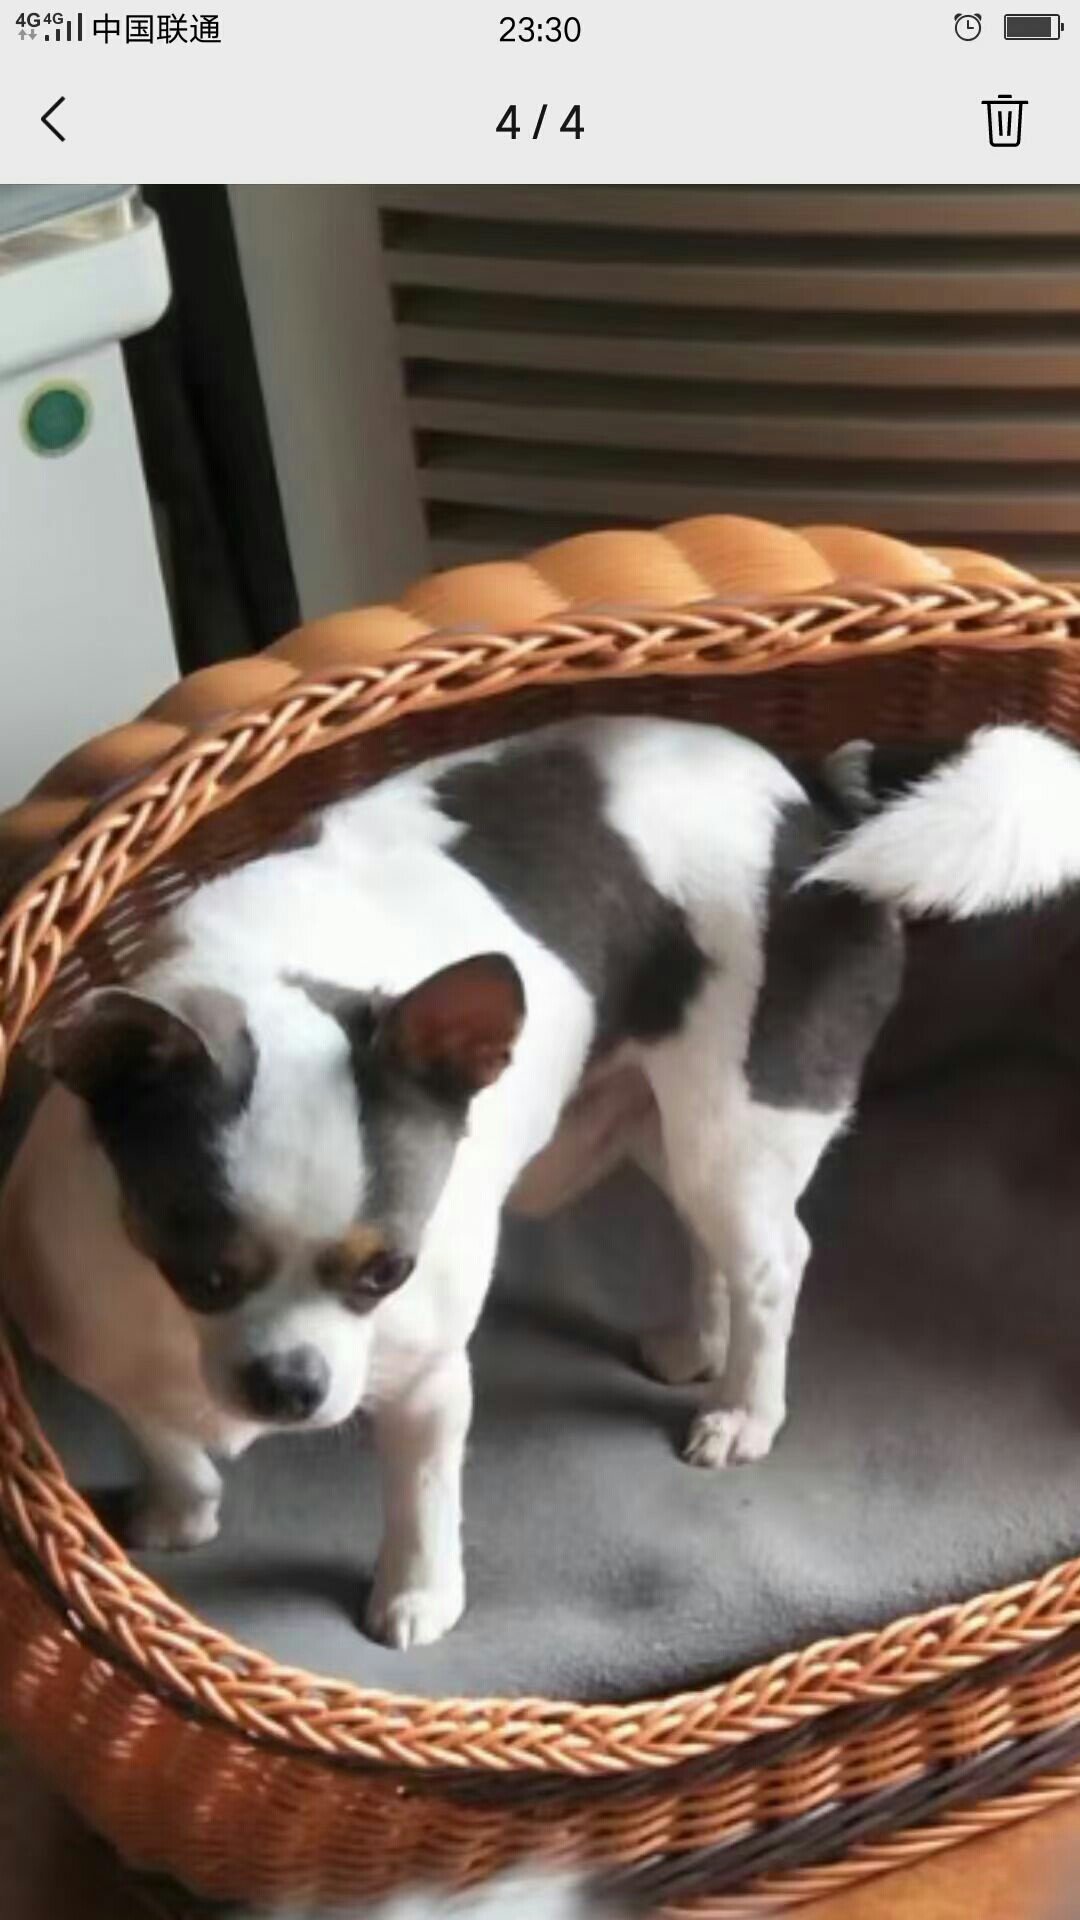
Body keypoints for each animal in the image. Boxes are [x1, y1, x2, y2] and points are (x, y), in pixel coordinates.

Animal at [10, 715, 1065, 1649]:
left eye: (387, 1272)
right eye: (202, 1272)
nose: (291, 1384)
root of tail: (813, 802)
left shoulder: (428, 1379)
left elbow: (421, 1494)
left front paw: (416, 1598)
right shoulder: (102, 1349)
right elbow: (160, 1434)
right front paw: (178, 1512)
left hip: (735, 1121)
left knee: (776, 1262)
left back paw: (745, 1411)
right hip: (666, 1127)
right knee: (712, 1241)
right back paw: (700, 1346)